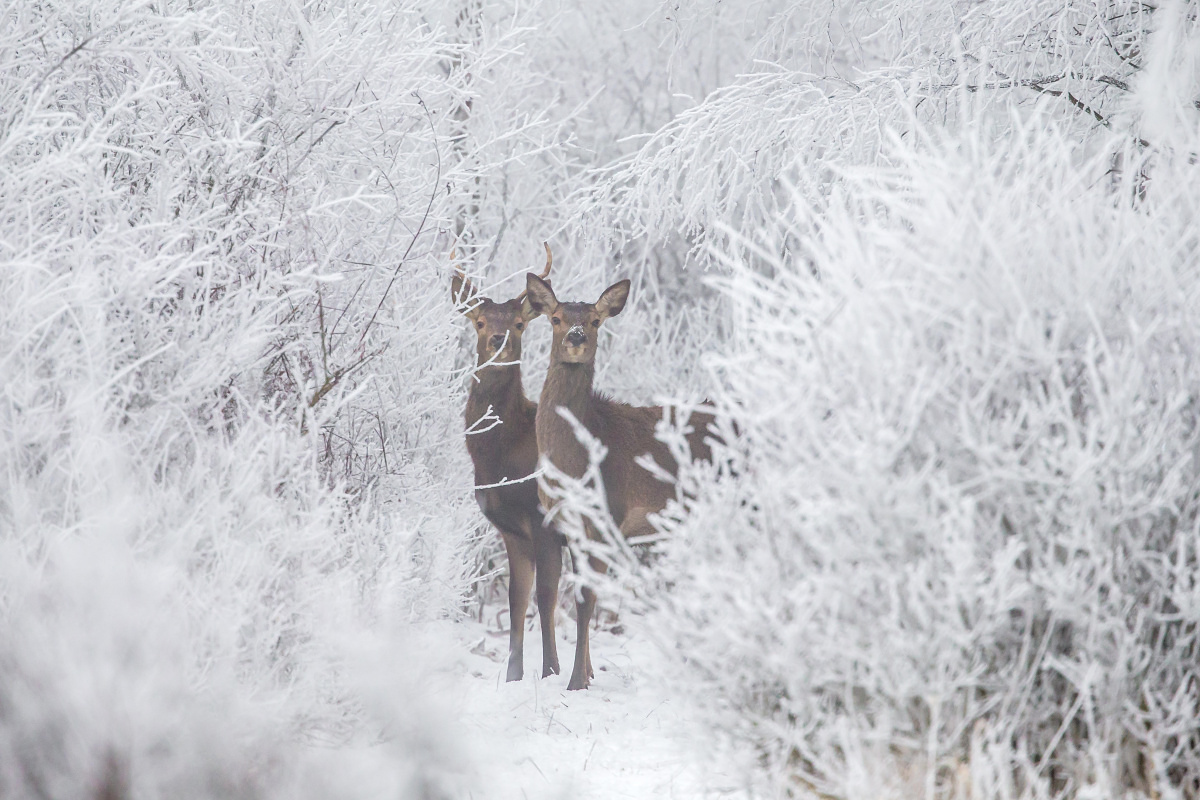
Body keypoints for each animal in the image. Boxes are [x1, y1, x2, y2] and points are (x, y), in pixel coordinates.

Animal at [451, 244, 564, 681]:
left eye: (518, 324)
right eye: (480, 322)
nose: (498, 338)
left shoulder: (542, 518)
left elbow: (546, 598)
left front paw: (551, 673)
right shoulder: (510, 529)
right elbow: (518, 600)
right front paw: (513, 676)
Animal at [523, 272, 710, 690]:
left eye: (595, 321)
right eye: (556, 318)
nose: (576, 337)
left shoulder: (606, 517)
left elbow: (586, 600)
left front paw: (577, 681)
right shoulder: (565, 524)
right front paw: (584, 673)